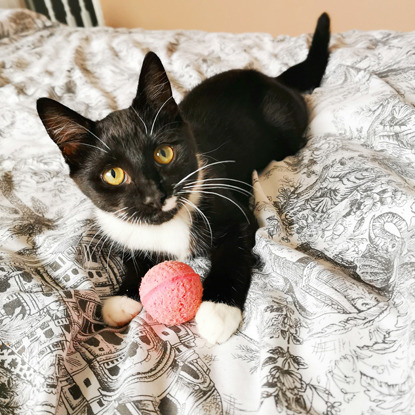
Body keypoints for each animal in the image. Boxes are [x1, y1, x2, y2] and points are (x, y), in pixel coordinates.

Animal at [38, 13, 332, 344]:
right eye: (113, 175)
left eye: (164, 153)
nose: (155, 195)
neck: (168, 226)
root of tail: (272, 78)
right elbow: (133, 256)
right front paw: (122, 297)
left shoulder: (234, 208)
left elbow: (234, 252)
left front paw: (218, 310)